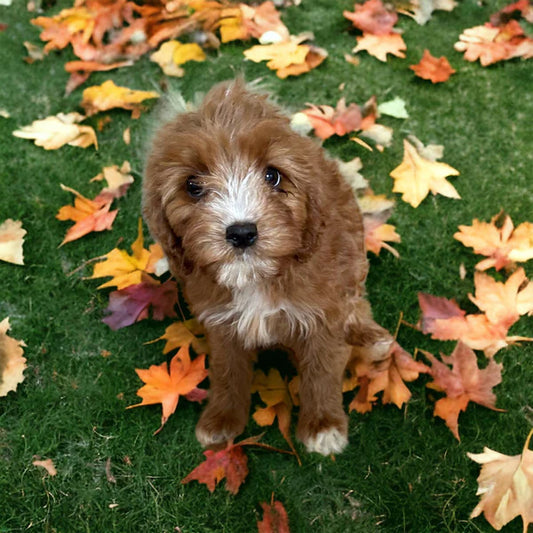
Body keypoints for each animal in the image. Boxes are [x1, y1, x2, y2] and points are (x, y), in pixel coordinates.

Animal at [143, 79, 392, 454]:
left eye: (273, 176)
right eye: (193, 186)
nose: (242, 232)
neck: (257, 278)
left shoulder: (324, 315)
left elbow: (321, 372)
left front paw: (323, 426)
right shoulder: (222, 324)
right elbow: (227, 371)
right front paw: (222, 419)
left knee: (359, 309)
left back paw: (372, 338)